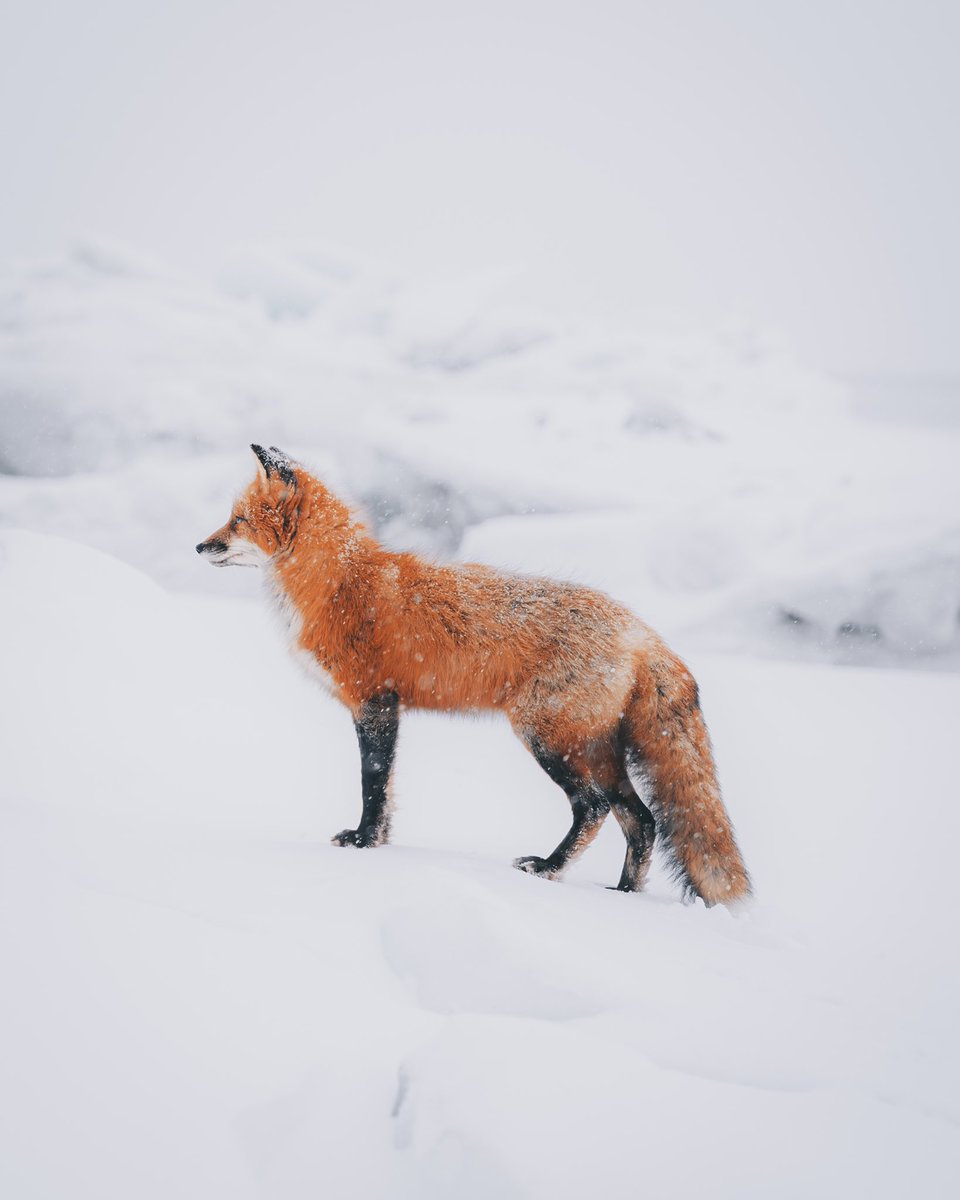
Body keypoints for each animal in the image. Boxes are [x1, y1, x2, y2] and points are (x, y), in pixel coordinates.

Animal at [197, 444, 751, 906]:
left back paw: (548, 868)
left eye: (237, 520)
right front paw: (379, 844)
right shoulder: (387, 706)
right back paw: (624, 895)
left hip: (548, 738)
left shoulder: (374, 702)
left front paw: (363, 844)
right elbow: (387, 793)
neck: (338, 582)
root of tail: (641, 630)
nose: (200, 547)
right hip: (598, 751)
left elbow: (372, 785)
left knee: (593, 808)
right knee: (643, 821)